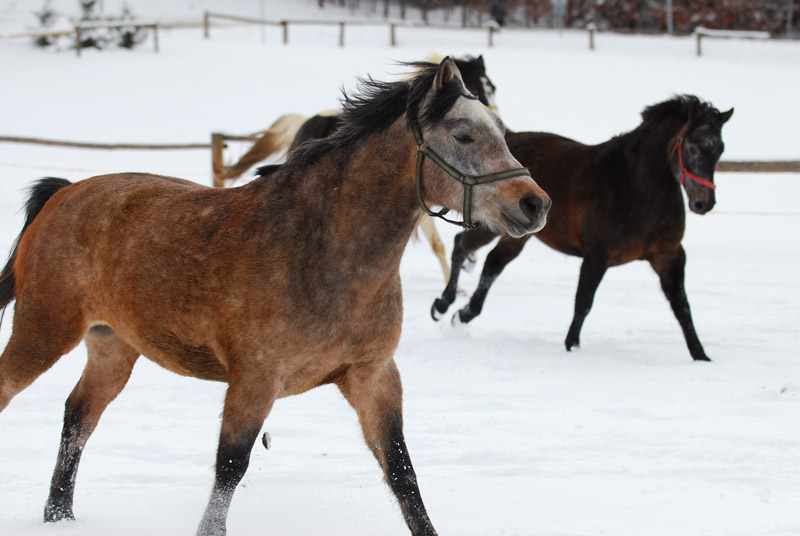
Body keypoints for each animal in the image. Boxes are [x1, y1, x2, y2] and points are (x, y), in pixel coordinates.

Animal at [0, 57, 552, 536]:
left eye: (502, 132)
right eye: (463, 134)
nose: (535, 204)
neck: (321, 253)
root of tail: (63, 192)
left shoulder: (372, 376)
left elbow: (402, 472)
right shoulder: (255, 379)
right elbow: (230, 468)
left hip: (113, 346)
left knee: (78, 417)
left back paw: (59, 517)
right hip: (42, 331)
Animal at [432, 97, 732, 364]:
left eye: (719, 150)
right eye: (693, 147)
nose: (704, 203)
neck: (634, 186)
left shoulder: (668, 256)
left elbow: (682, 307)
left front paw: (701, 356)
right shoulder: (597, 257)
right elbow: (584, 301)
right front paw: (572, 346)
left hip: (517, 235)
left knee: (492, 265)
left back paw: (463, 314)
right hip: (493, 225)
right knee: (461, 245)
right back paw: (442, 305)